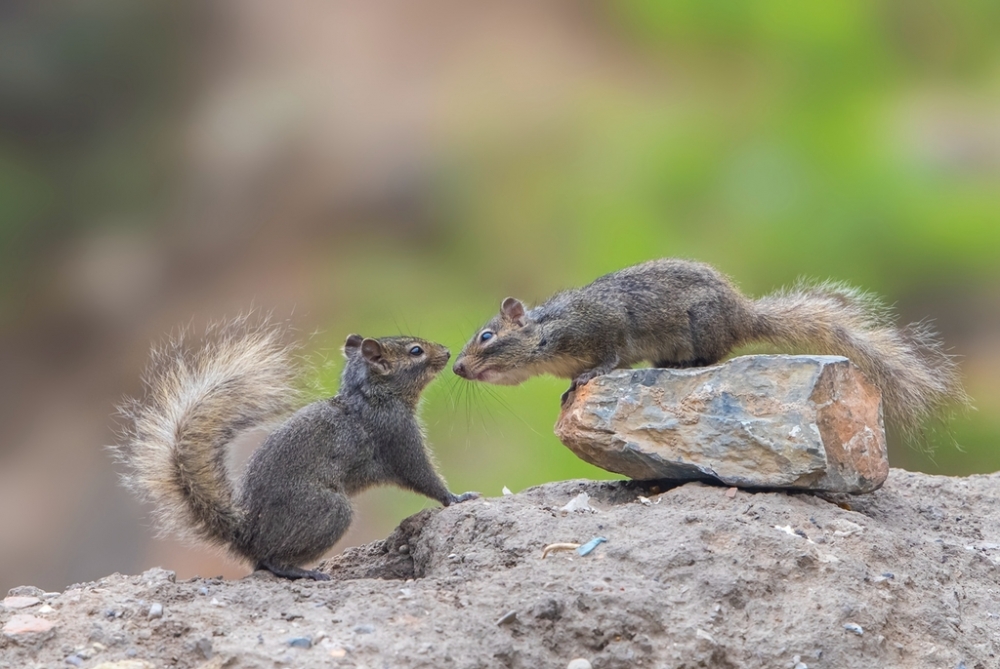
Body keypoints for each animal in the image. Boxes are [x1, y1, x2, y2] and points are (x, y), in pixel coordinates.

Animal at [111, 314, 478, 580]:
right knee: (270, 561)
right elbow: (422, 476)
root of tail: (246, 536)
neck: (370, 396)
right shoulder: (396, 437)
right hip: (329, 512)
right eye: (415, 351)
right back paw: (304, 573)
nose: (447, 352)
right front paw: (458, 497)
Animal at [456, 258, 968, 438]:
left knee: (712, 357)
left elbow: (611, 355)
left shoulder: (603, 326)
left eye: (486, 337)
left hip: (702, 328)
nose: (458, 368)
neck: (547, 335)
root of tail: (745, 316)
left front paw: (588, 376)